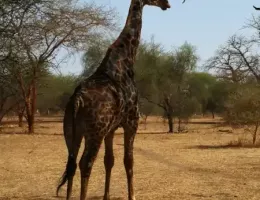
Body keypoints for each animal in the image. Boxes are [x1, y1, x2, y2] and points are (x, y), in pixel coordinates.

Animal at [56, 0, 171, 200]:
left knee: (71, 163)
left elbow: (109, 160)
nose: (167, 4)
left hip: (72, 131)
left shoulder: (111, 129)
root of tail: (77, 99)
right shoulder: (132, 121)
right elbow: (129, 160)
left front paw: (106, 196)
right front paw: (132, 196)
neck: (125, 60)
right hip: (95, 131)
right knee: (85, 163)